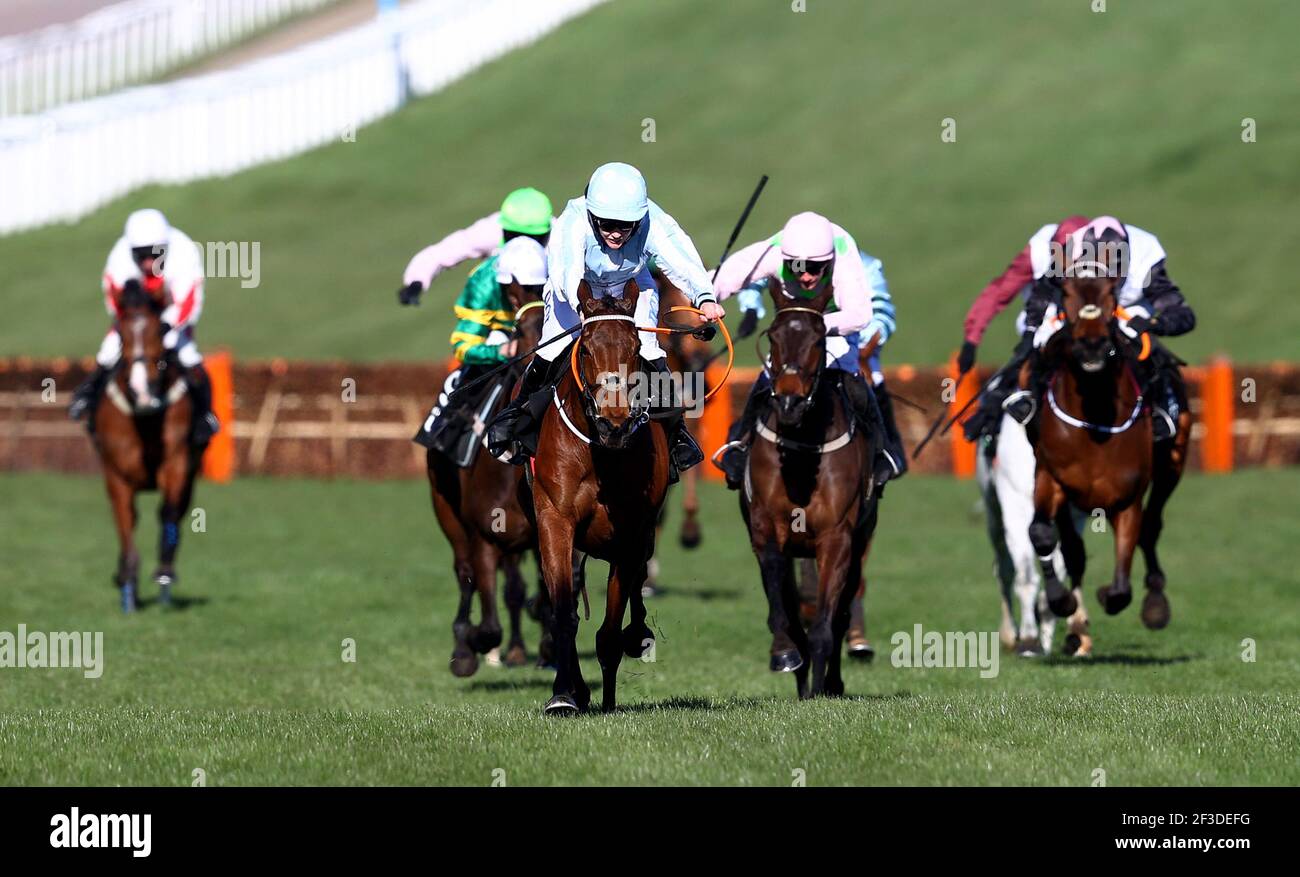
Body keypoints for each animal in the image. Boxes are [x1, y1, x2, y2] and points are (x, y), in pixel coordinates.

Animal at [91, 284, 205, 613]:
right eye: (121, 331)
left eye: (161, 329)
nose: (142, 389)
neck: (144, 418)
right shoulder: (116, 474)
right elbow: (126, 521)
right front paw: (127, 582)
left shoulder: (178, 464)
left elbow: (167, 512)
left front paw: (164, 573)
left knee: (174, 514)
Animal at [426, 283, 548, 680]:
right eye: (520, 330)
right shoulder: (483, 534)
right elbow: (490, 618)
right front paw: (475, 642)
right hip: (446, 509)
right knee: (465, 573)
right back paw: (465, 647)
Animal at [530, 281, 670, 711]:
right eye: (587, 349)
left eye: (636, 346)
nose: (615, 423)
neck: (600, 454)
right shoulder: (555, 519)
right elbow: (563, 610)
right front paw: (564, 694)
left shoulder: (630, 533)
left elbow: (609, 632)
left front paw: (606, 699)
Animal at [743, 284, 873, 696]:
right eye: (774, 336)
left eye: (818, 339)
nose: (789, 401)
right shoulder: (766, 528)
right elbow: (783, 605)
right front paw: (785, 653)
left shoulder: (837, 537)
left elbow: (824, 625)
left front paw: (820, 687)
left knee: (842, 609)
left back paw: (830, 681)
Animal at [1024, 274, 1190, 631]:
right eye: (1066, 294)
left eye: (1111, 294)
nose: (1092, 346)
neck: (1095, 422)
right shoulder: (1050, 477)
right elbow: (1042, 533)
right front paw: (1060, 600)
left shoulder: (1126, 499)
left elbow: (1121, 587)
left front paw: (1111, 596)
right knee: (1072, 547)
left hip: (1172, 465)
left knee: (1151, 525)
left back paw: (1155, 600)